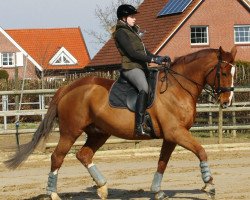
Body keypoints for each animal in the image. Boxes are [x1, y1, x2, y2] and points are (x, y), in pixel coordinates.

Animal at [5, 46, 236, 199]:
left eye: (233, 72)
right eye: (224, 72)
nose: (227, 101)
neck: (178, 87)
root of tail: (69, 87)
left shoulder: (171, 136)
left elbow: (162, 162)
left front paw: (157, 191)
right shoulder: (176, 132)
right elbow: (201, 151)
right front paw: (209, 184)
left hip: (99, 132)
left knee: (84, 155)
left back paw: (102, 187)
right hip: (70, 132)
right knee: (57, 157)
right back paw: (53, 194)